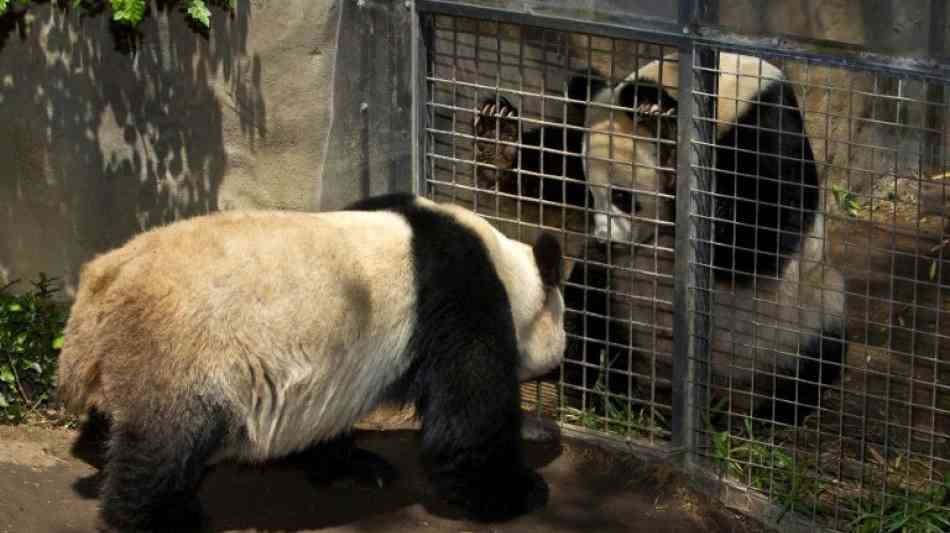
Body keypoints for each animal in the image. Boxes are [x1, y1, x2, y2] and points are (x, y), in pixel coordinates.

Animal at [57, 193, 564, 528]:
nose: (561, 358)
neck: (502, 262)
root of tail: (102, 284)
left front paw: (354, 466)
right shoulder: (456, 297)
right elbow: (466, 416)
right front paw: (514, 491)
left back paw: (97, 445)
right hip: (180, 351)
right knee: (164, 447)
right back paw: (161, 518)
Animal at [588, 53, 848, 424]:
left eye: (622, 197)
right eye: (589, 195)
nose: (604, 241)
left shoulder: (764, 122)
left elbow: (761, 238)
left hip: (803, 314)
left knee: (822, 347)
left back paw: (774, 414)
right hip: (622, 303)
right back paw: (611, 395)